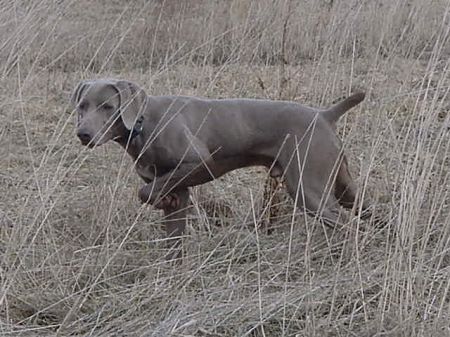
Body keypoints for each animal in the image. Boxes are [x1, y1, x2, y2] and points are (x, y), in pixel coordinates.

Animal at [70, 79, 372, 256]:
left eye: (108, 107)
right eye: (82, 105)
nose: (83, 134)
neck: (143, 123)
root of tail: (324, 115)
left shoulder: (200, 162)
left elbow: (145, 191)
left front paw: (155, 198)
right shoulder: (180, 194)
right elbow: (173, 239)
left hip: (307, 189)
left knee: (347, 224)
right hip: (342, 184)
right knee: (366, 210)